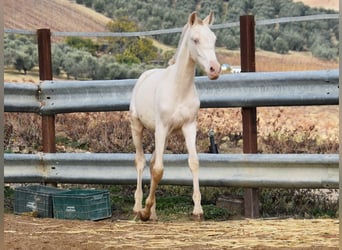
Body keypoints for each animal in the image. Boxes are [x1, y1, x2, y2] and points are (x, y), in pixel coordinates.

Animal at [130, 11, 220, 221]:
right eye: (195, 40)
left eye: (213, 39)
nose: (215, 69)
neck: (179, 88)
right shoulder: (162, 127)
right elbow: (158, 170)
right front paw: (145, 210)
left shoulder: (189, 127)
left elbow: (193, 163)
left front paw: (198, 211)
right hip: (138, 127)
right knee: (140, 162)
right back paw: (138, 208)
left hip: (164, 134)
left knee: (152, 162)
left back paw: (153, 213)